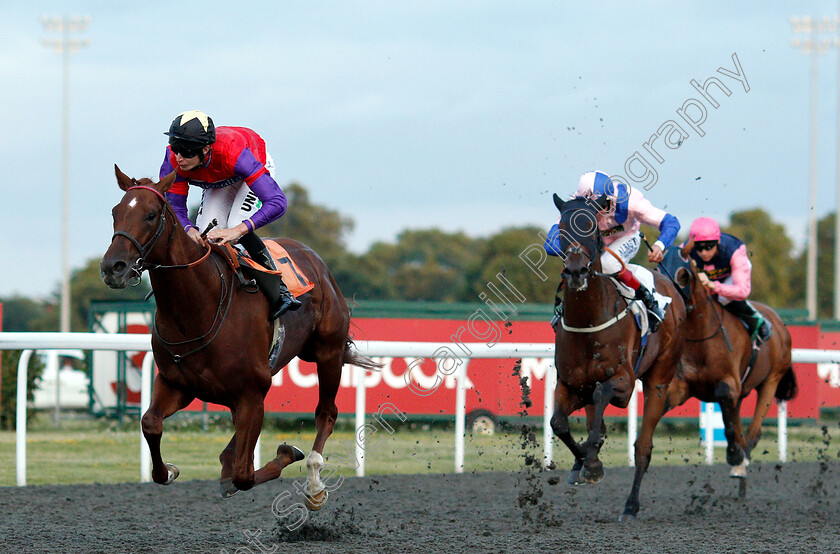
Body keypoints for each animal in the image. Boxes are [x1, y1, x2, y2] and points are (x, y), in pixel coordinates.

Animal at [99, 166, 378, 506]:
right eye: (116, 212)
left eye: (151, 215)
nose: (113, 267)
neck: (200, 306)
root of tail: (316, 260)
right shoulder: (177, 384)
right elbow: (150, 424)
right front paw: (171, 470)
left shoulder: (251, 392)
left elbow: (245, 476)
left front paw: (287, 453)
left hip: (328, 353)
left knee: (326, 413)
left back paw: (314, 483)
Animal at [548, 195, 684, 520]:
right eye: (562, 228)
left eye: (592, 228)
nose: (575, 272)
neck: (588, 322)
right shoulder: (569, 383)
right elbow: (559, 424)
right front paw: (585, 461)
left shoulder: (624, 382)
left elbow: (602, 400)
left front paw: (592, 464)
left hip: (659, 379)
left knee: (643, 447)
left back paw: (631, 507)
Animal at [660, 242, 796, 478]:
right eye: (657, 269)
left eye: (683, 273)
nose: (670, 304)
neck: (701, 335)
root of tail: (779, 323)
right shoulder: (682, 387)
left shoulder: (729, 383)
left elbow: (728, 415)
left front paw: (735, 455)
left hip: (771, 380)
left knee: (754, 430)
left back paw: (742, 459)